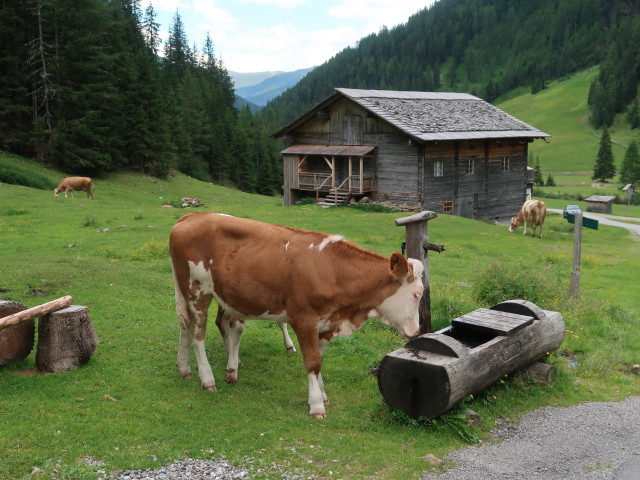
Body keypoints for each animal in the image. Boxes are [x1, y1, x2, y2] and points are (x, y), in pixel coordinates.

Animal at [169, 212, 424, 418]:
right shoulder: (305, 320)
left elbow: (320, 360)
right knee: (198, 333)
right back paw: (207, 379)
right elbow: (312, 361)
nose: (416, 331)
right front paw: (316, 405)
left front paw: (323, 394)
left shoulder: (326, 323)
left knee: (186, 325)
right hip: (196, 290)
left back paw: (185, 368)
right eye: (417, 294)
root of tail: (193, 216)